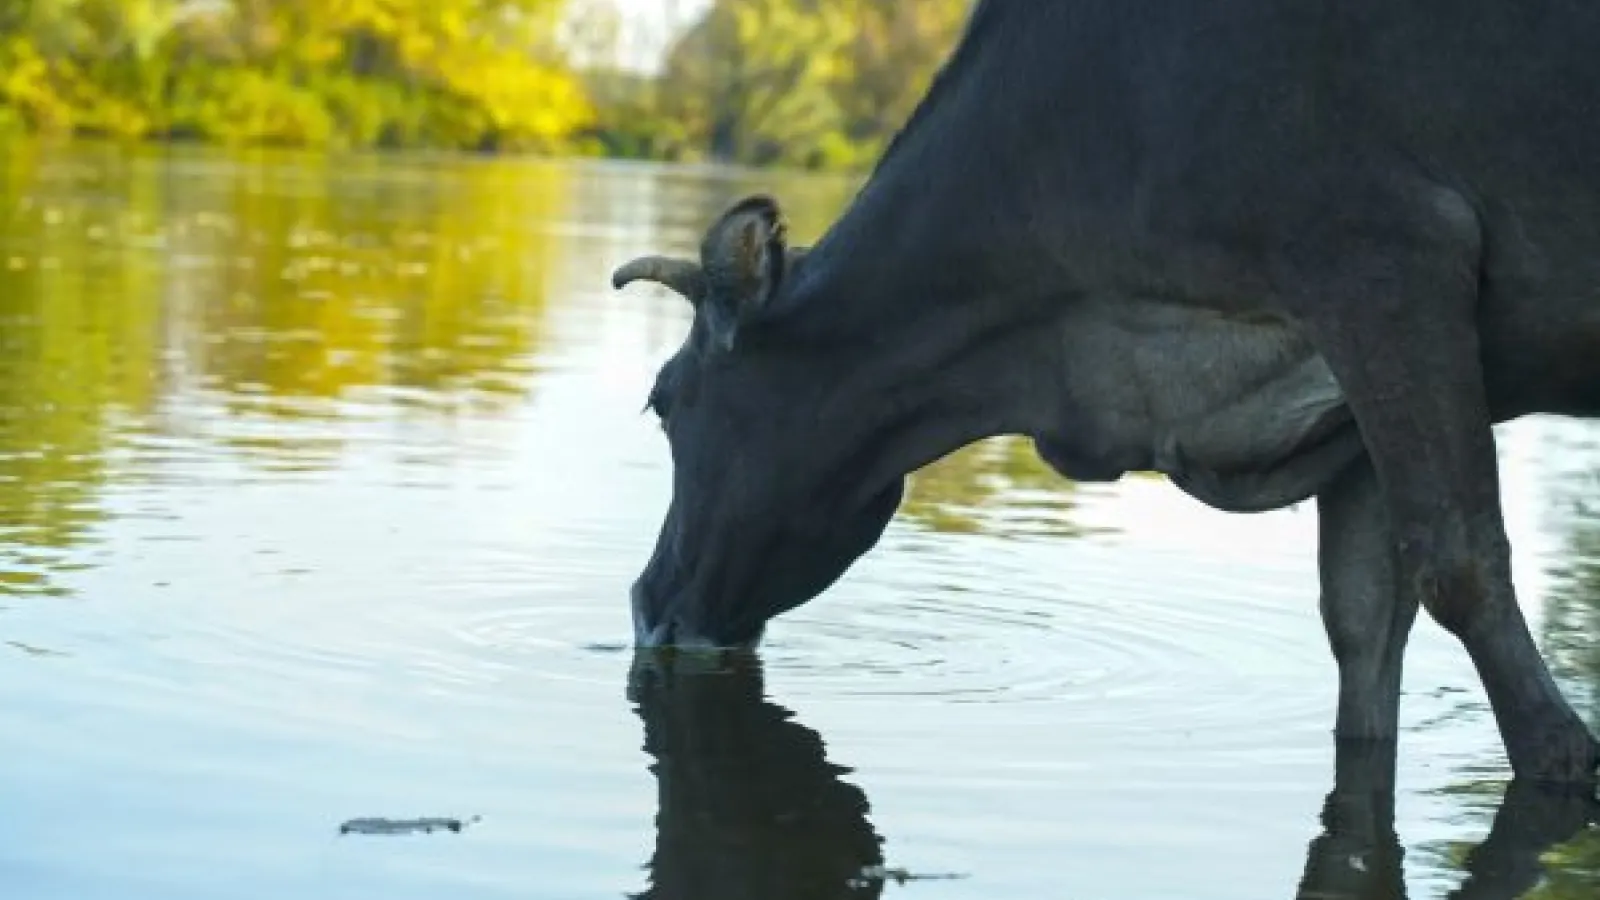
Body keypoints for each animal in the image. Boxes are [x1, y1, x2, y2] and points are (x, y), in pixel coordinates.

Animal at [609, 0, 1600, 784]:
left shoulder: (1386, 259)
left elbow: (1459, 563)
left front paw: (1566, 761)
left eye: (662, 401)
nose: (648, 606)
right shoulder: (1347, 403)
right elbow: (1363, 621)